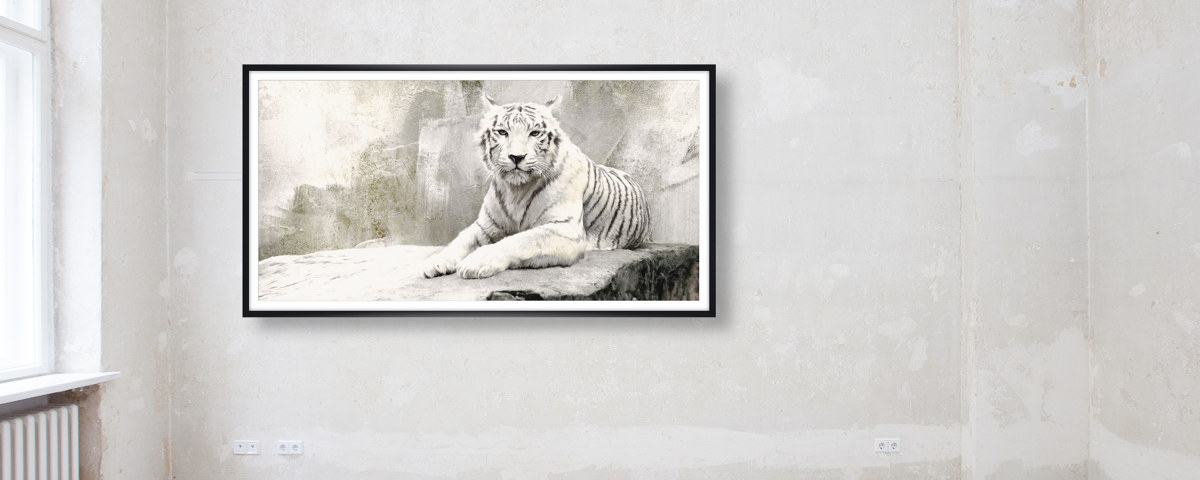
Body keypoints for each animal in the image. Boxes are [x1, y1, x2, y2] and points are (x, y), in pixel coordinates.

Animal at [422, 93, 650, 279]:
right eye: (502, 132)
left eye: (534, 133)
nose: (516, 157)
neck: (516, 190)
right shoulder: (486, 226)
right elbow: (460, 239)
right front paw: (436, 261)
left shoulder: (565, 230)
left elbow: (520, 240)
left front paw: (475, 262)